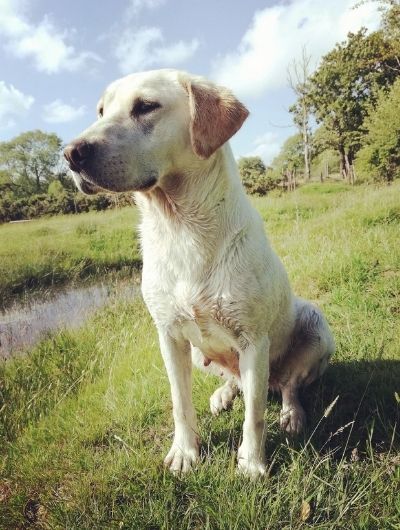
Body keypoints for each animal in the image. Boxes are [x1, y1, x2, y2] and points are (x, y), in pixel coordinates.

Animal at [65, 68, 334, 476]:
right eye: (100, 111)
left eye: (146, 106)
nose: (70, 153)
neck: (180, 227)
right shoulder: (170, 336)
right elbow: (180, 403)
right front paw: (185, 452)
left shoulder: (253, 339)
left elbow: (254, 416)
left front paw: (252, 465)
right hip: (198, 353)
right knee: (238, 382)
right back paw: (222, 394)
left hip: (316, 328)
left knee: (288, 384)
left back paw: (291, 415)